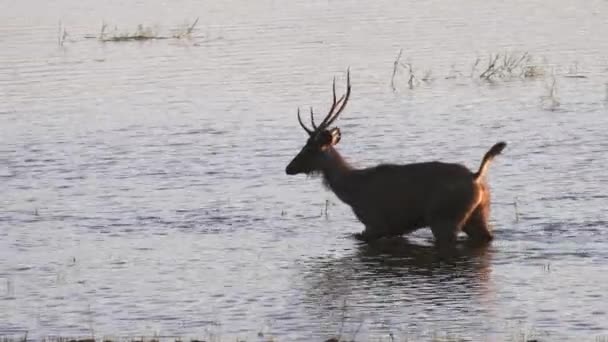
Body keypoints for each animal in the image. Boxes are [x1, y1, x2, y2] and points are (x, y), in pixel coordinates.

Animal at [288, 70, 506, 246]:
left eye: (309, 148)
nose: (288, 168)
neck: (351, 190)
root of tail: (476, 176)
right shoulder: (393, 229)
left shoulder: (375, 224)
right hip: (478, 214)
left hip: (445, 219)